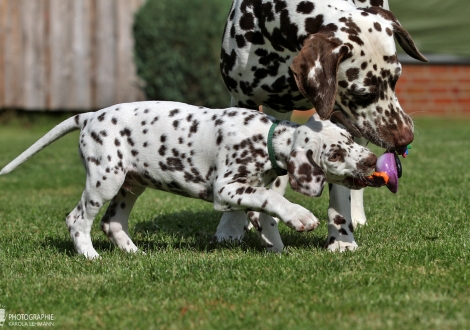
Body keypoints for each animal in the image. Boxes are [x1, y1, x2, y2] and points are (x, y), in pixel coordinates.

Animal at [0, 100, 382, 258]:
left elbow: (265, 213)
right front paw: (300, 218)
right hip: (105, 179)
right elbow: (274, 200)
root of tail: (90, 116)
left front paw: (275, 247)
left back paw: (135, 253)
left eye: (350, 140)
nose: (372, 160)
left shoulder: (250, 189)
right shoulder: (226, 190)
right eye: (336, 153)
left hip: (130, 185)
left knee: (113, 222)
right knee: (77, 219)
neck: (265, 138)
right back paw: (89, 255)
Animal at [215, 0, 428, 250]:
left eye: (396, 79)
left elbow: (341, 192)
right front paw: (230, 226)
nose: (405, 138)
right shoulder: (243, 100)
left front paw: (342, 239)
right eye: (362, 94)